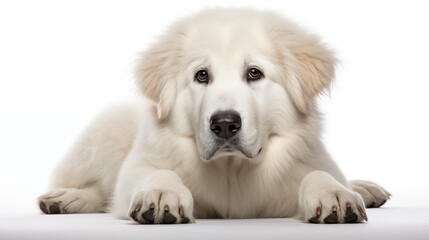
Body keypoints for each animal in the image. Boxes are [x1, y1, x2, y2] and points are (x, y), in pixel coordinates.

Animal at [38, 8, 390, 224]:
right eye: (202, 75)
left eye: (254, 73)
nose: (224, 124)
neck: (232, 169)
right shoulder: (134, 172)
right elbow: (154, 174)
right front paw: (161, 194)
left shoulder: (310, 162)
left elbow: (319, 174)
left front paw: (335, 194)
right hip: (107, 128)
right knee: (99, 189)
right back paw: (65, 198)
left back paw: (365, 189)